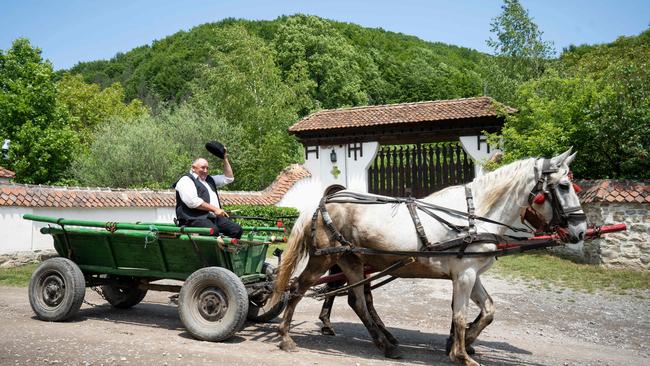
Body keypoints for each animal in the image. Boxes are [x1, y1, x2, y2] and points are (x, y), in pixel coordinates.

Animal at [270, 149, 584, 366]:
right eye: (564, 186)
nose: (580, 230)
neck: (473, 216)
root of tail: (321, 204)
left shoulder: (471, 275)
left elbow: (488, 310)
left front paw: (463, 342)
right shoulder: (464, 275)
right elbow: (460, 315)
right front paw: (461, 353)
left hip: (352, 261)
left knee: (357, 300)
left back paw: (386, 345)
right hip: (324, 258)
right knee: (298, 288)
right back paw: (286, 337)